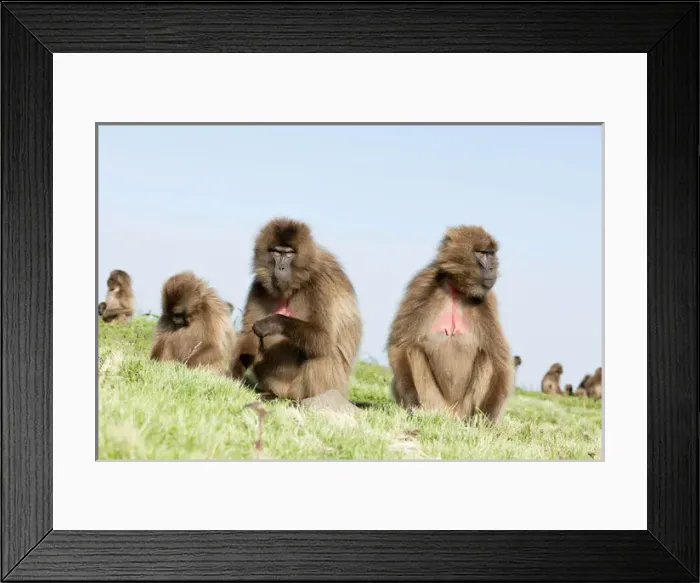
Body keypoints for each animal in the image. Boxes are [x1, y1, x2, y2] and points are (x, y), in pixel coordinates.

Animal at [230, 218, 362, 401]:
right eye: (276, 252)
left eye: (289, 254)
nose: (281, 268)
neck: (295, 284)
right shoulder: (259, 286)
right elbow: (250, 334)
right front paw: (231, 376)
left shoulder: (321, 284)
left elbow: (325, 339)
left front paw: (273, 322)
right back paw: (271, 395)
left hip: (329, 386)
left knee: (321, 355)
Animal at [387, 225, 513, 422]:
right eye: (482, 253)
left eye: (491, 254)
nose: (492, 267)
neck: (456, 289)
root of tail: (452, 415)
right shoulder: (421, 285)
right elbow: (400, 345)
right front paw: (413, 405)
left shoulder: (487, 301)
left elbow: (500, 361)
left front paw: (487, 420)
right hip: (434, 402)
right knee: (412, 349)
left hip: (465, 409)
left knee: (487, 358)